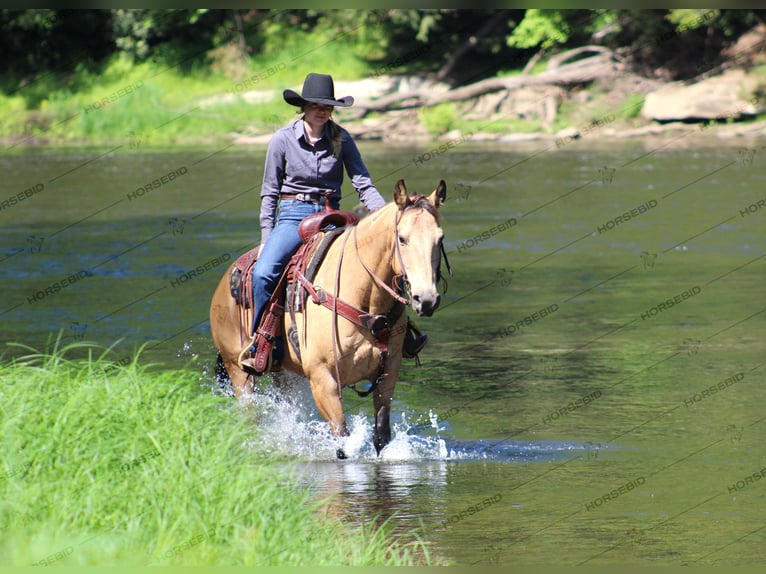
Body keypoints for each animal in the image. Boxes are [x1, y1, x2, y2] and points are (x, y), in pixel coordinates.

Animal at [210, 180, 450, 460]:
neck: (363, 298)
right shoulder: (323, 380)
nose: (427, 299)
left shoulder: (388, 373)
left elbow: (381, 436)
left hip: (285, 374)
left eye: (440, 238)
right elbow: (342, 443)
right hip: (238, 372)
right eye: (402, 238)